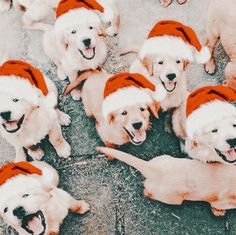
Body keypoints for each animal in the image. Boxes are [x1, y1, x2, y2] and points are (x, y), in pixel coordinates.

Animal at [97, 147, 236, 217]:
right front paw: (218, 212)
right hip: (173, 199)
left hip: (164, 158)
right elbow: (216, 206)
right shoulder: (221, 202)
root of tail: (154, 169)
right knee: (147, 191)